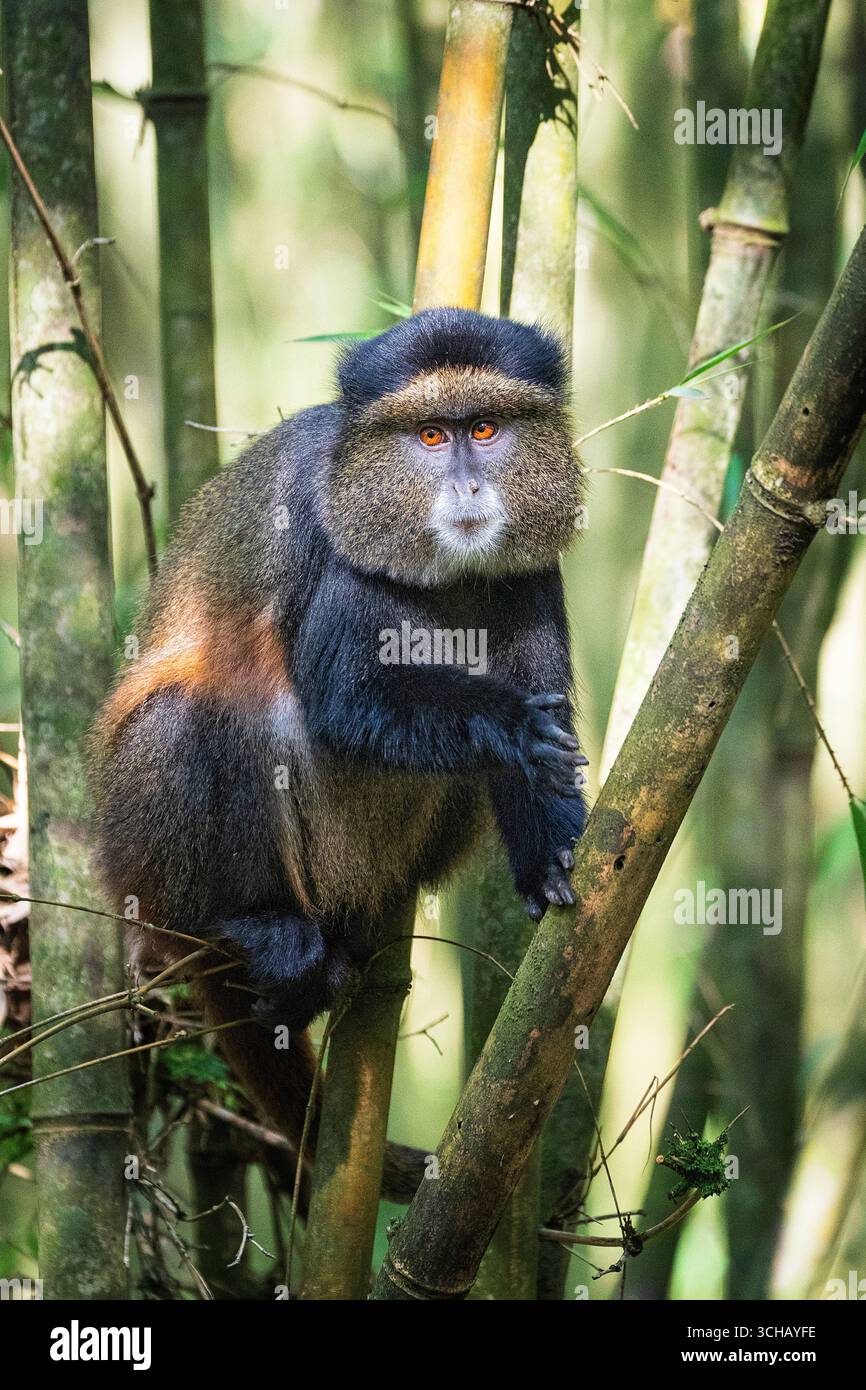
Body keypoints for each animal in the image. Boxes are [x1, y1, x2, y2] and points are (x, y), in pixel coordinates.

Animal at [90, 307, 588, 1199]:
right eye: (430, 436)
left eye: (485, 429)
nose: (468, 489)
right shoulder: (334, 537)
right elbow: (346, 698)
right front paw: (509, 724)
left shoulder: (532, 568)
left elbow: (540, 717)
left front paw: (551, 856)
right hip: (145, 869)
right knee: (196, 720)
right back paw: (253, 931)